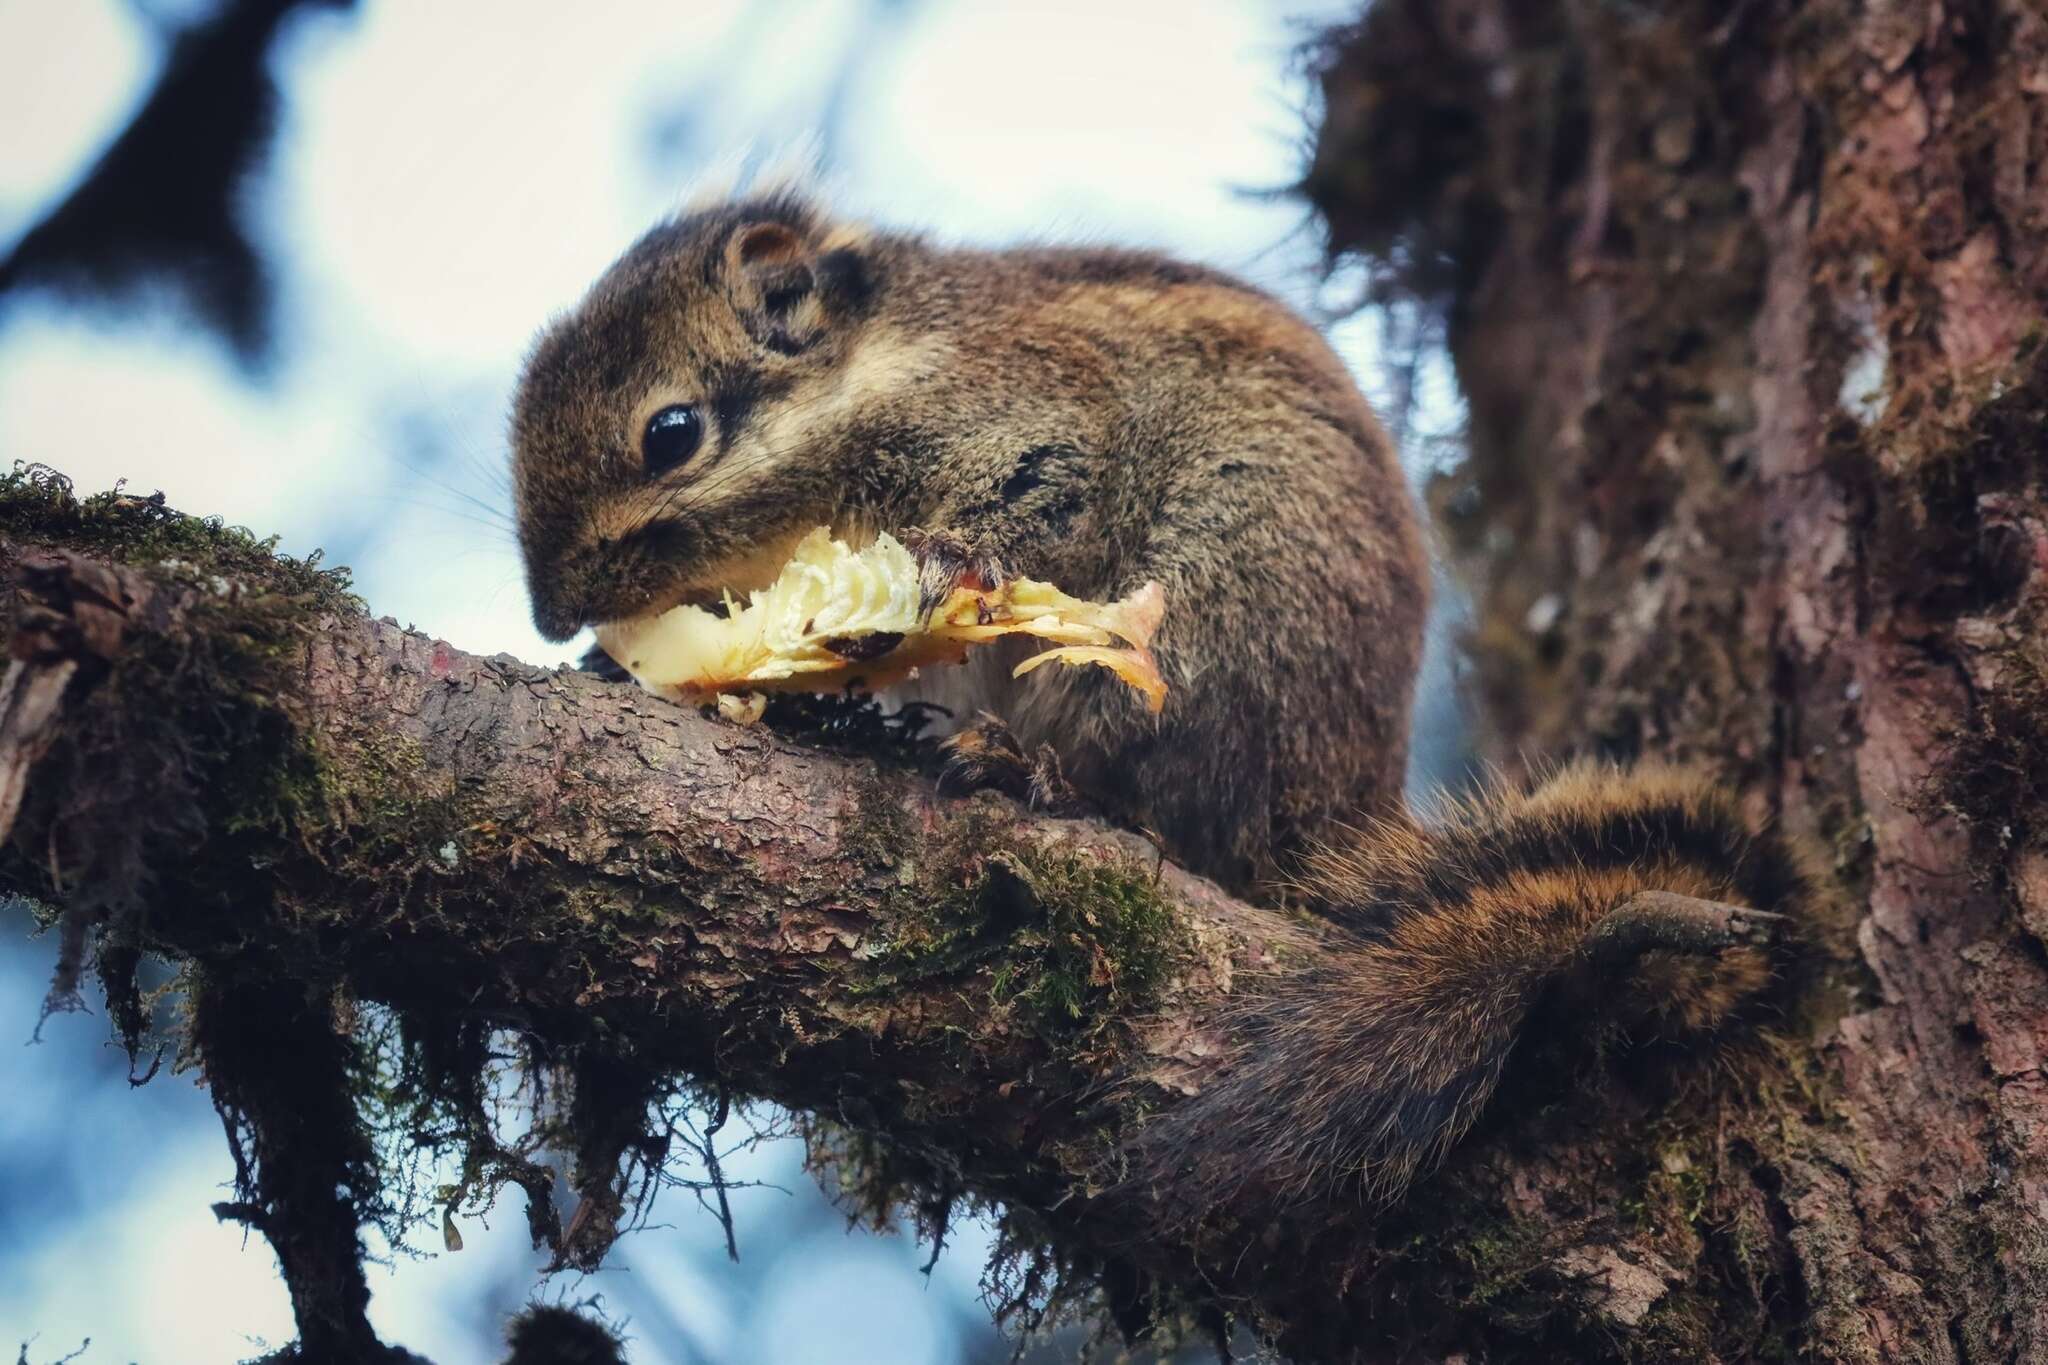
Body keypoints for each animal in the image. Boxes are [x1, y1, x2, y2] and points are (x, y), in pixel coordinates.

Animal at [507, 187, 1810, 1211]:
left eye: (671, 432)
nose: (549, 614)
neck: (883, 371)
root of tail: (1329, 821)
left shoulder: (1034, 433)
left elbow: (1025, 515)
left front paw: (915, 588)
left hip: (1201, 634)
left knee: (1159, 812)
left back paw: (1023, 772)